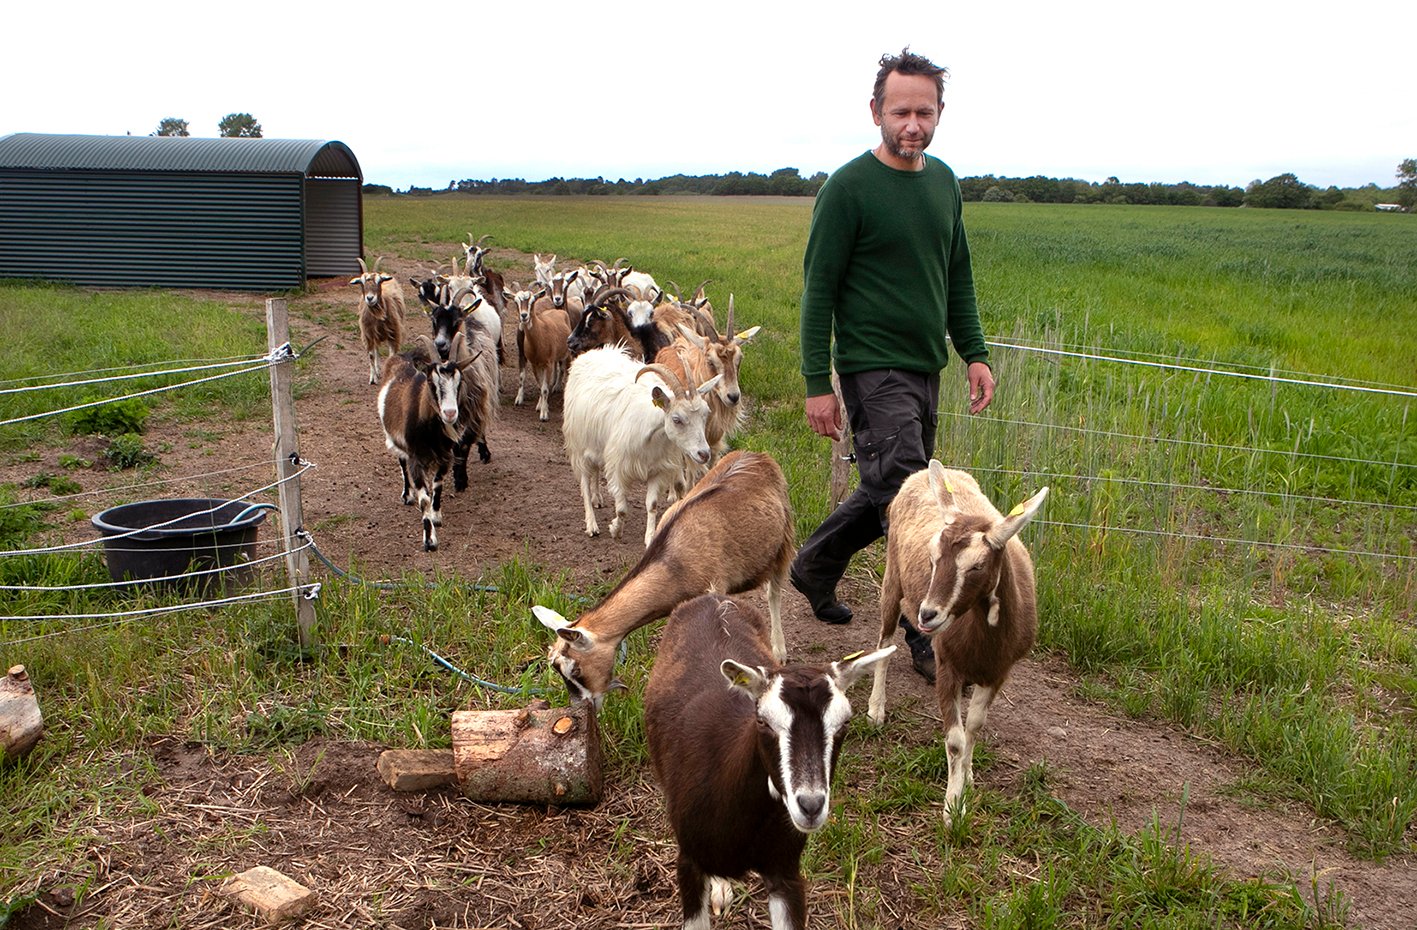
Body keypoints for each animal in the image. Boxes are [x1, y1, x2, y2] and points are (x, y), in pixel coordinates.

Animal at [374, 331, 484, 552]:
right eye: (432, 384)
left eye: (459, 382)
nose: (450, 413)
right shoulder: (416, 458)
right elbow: (424, 497)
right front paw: (430, 540)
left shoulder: (445, 456)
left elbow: (437, 485)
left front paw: (436, 515)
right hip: (395, 441)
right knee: (401, 462)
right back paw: (407, 495)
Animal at [532, 450, 799, 706]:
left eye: (576, 669)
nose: (581, 706)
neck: (675, 562)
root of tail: (760, 457)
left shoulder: (717, 588)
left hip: (784, 540)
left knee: (774, 593)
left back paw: (779, 649)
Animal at [558, 344, 725, 547]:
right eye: (676, 419)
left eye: (705, 414)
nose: (704, 454)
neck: (653, 435)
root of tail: (588, 355)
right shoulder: (618, 467)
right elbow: (622, 508)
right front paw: (615, 530)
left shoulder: (657, 470)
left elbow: (651, 505)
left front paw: (650, 537)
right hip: (578, 444)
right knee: (584, 483)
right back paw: (591, 524)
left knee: (595, 470)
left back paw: (598, 498)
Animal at [646, 595, 889, 930]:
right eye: (762, 721)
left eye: (844, 723)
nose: (810, 806)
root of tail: (713, 597)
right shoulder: (689, 862)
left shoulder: (785, 872)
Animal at [861, 462, 1054, 822]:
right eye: (933, 557)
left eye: (978, 566)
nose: (927, 614)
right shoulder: (947, 664)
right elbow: (955, 739)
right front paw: (953, 809)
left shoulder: (999, 672)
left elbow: (974, 728)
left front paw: (967, 776)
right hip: (892, 579)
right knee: (884, 641)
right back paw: (876, 709)